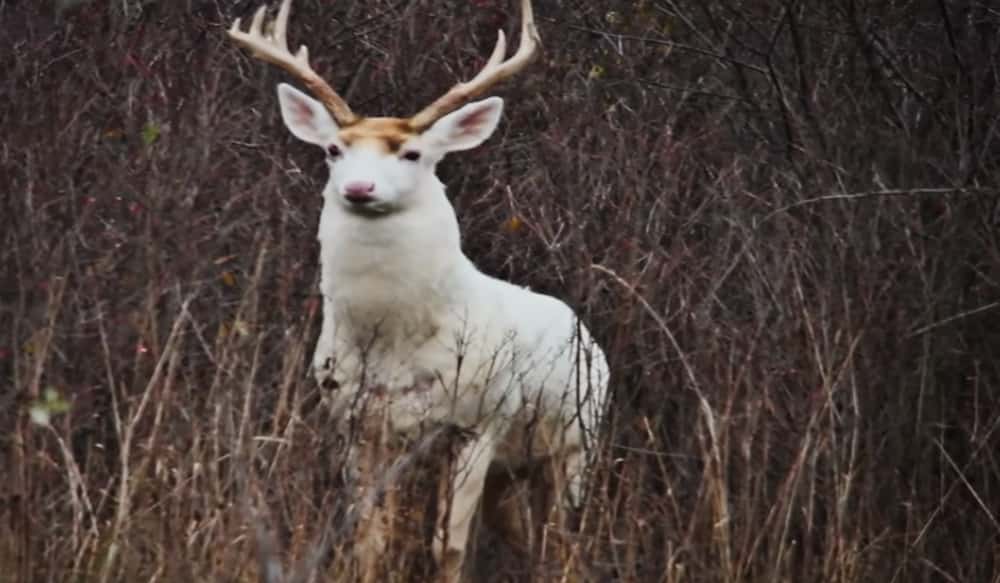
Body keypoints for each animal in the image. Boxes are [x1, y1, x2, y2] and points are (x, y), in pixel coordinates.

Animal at [227, 0, 609, 580]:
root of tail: (586, 333)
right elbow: (370, 538)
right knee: (527, 536)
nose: (358, 188)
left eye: (411, 154)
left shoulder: (478, 421)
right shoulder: (357, 425)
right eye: (334, 150)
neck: (393, 342)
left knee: (564, 539)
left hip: (576, 442)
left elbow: (447, 545)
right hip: (513, 469)